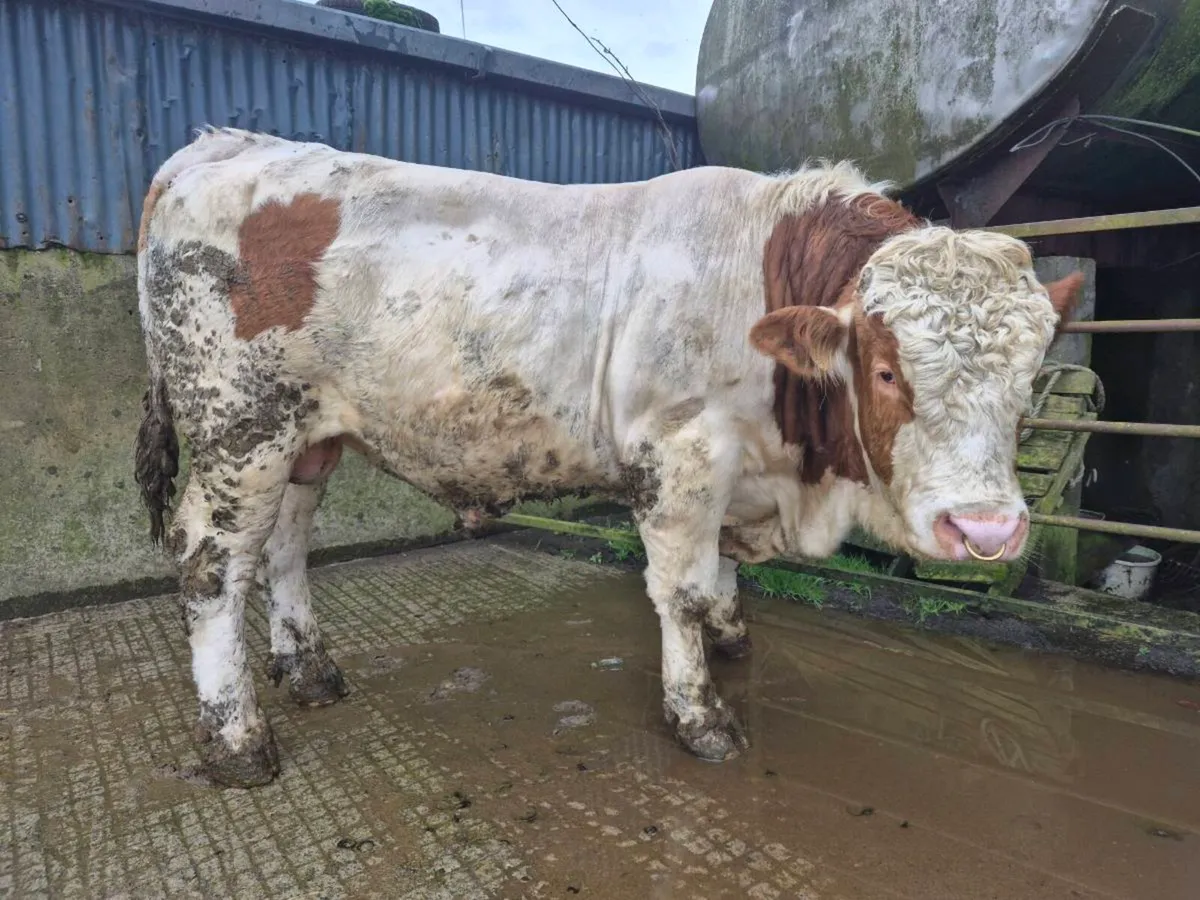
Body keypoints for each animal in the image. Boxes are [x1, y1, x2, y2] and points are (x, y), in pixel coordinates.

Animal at [134, 127, 1083, 788]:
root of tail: (222, 143)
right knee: (212, 566)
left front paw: (732, 639)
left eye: (1031, 376)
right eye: (886, 369)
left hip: (307, 436)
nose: (985, 531)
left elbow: (719, 576)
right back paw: (237, 739)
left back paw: (309, 669)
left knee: (285, 547)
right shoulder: (679, 453)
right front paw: (700, 714)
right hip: (239, 432)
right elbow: (682, 589)